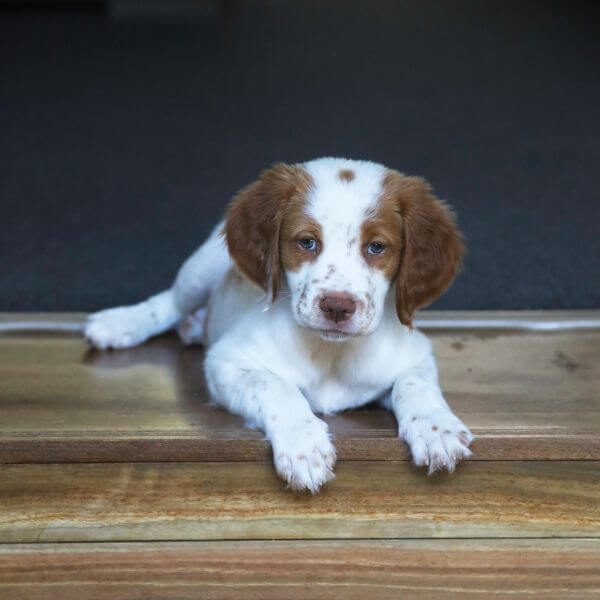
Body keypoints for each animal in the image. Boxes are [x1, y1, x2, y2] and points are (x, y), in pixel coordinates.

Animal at [84, 158, 474, 492]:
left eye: (377, 247)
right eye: (307, 242)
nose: (337, 306)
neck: (330, 352)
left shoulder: (416, 353)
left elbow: (414, 384)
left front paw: (437, 429)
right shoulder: (225, 362)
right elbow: (275, 386)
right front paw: (304, 443)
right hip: (200, 269)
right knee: (168, 302)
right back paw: (120, 323)